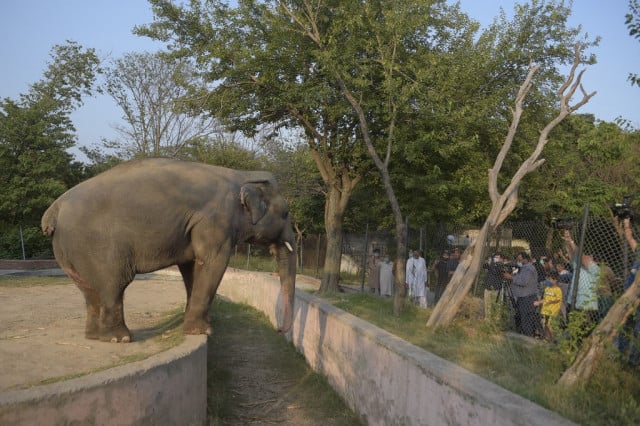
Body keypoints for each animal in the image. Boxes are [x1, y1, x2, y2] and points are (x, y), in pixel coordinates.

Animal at [41, 158, 296, 342]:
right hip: (97, 244)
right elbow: (212, 262)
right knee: (115, 283)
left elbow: (192, 266)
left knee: (89, 290)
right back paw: (120, 339)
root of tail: (55, 208)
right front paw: (202, 332)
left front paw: (199, 325)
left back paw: (95, 337)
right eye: (285, 213)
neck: (241, 175)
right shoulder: (215, 220)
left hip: (71, 250)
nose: (279, 331)